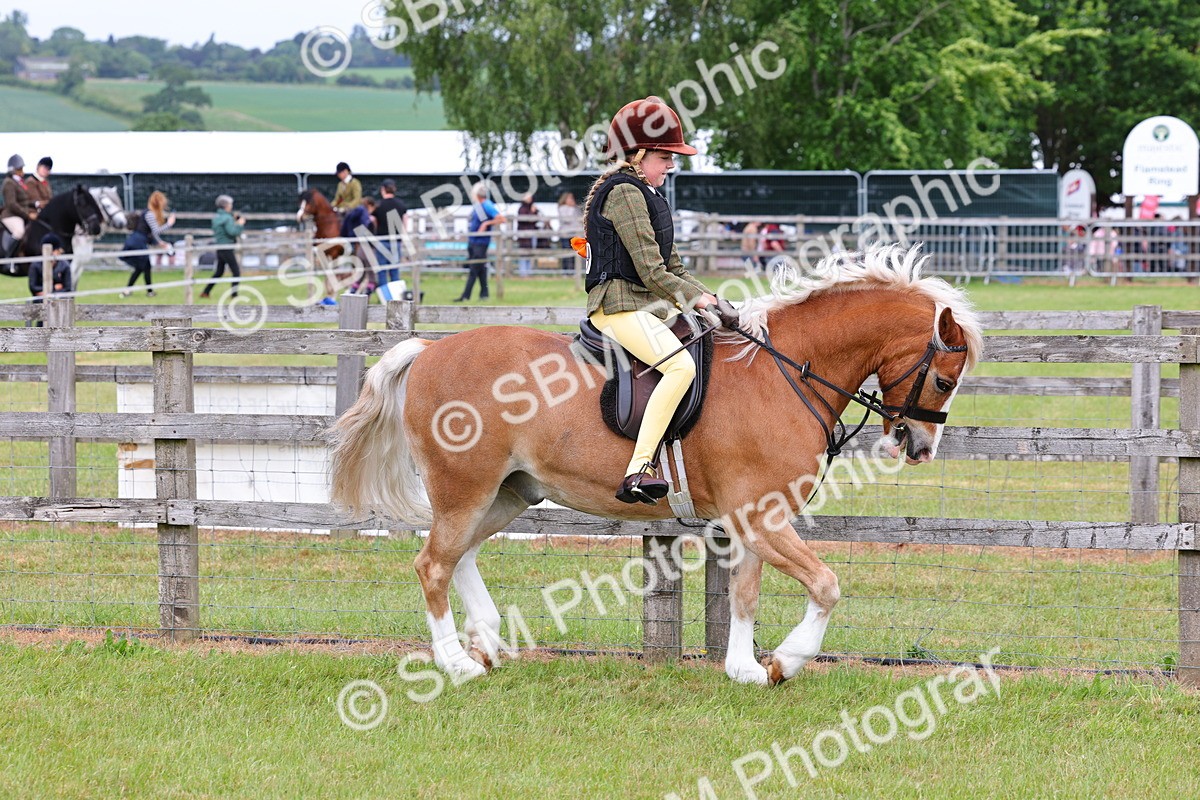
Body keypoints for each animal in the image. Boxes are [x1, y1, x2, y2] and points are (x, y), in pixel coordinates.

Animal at [329, 246, 984, 686]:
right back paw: (458, 663)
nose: (920, 446)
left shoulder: (753, 520)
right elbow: (825, 584)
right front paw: (786, 660)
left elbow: (745, 594)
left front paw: (744, 669)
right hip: (465, 487)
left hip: (508, 493)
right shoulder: (762, 517)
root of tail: (429, 349)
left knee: (458, 555)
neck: (784, 372)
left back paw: (486, 641)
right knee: (432, 564)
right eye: (945, 379)